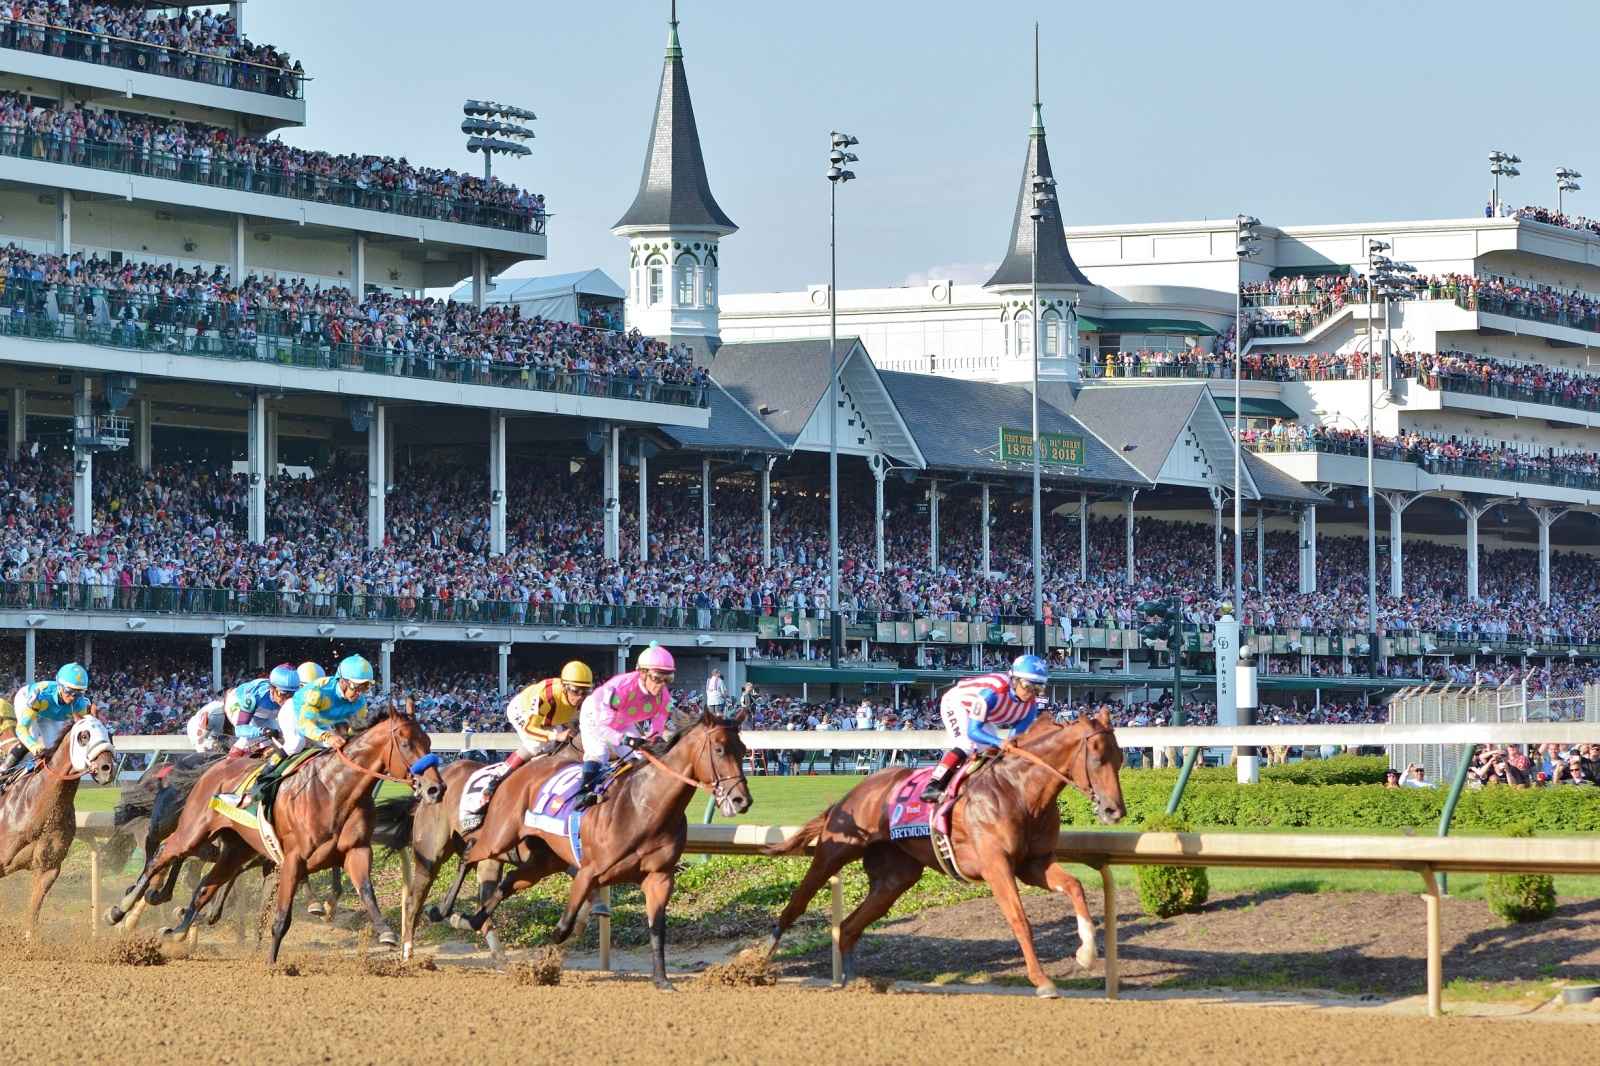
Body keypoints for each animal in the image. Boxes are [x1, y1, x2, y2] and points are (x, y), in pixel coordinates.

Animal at [104, 704, 444, 960]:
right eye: (405, 743)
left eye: (428, 742)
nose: (435, 788)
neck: (334, 789)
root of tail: (211, 769)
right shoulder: (292, 859)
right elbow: (280, 917)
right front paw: (270, 963)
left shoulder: (356, 850)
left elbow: (366, 890)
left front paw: (386, 933)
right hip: (192, 832)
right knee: (162, 854)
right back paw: (121, 909)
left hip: (235, 848)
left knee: (203, 886)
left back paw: (175, 931)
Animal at [448, 710, 752, 992]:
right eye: (719, 749)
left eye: (743, 750)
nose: (742, 800)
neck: (644, 807)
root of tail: (519, 771)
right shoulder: (588, 873)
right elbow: (563, 928)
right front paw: (542, 968)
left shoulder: (660, 878)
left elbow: (657, 929)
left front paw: (662, 980)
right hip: (500, 837)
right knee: (469, 855)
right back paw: (445, 910)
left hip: (544, 860)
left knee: (509, 881)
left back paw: (471, 919)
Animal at [764, 704, 1126, 998]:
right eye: (1097, 758)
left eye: (1120, 758)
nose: (1114, 811)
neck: (1019, 790)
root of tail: (851, 794)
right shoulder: (996, 866)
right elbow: (1020, 920)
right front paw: (1042, 980)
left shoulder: (1033, 864)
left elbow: (1075, 886)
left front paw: (1086, 954)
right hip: (834, 852)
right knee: (797, 904)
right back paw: (761, 961)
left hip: (895, 878)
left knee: (850, 927)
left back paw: (853, 982)